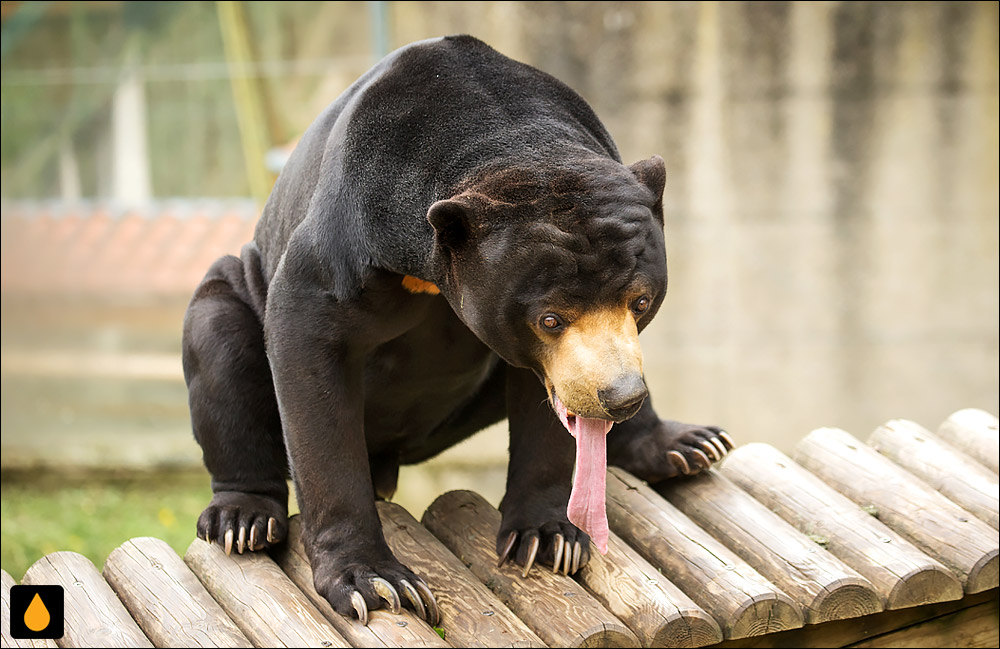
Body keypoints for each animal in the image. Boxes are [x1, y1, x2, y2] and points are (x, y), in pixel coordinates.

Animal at [184, 35, 732, 624]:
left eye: (641, 301)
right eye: (550, 319)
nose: (619, 396)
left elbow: (546, 410)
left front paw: (546, 537)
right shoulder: (347, 238)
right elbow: (309, 357)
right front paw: (374, 582)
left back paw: (685, 444)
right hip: (235, 289)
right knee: (221, 343)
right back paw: (242, 519)